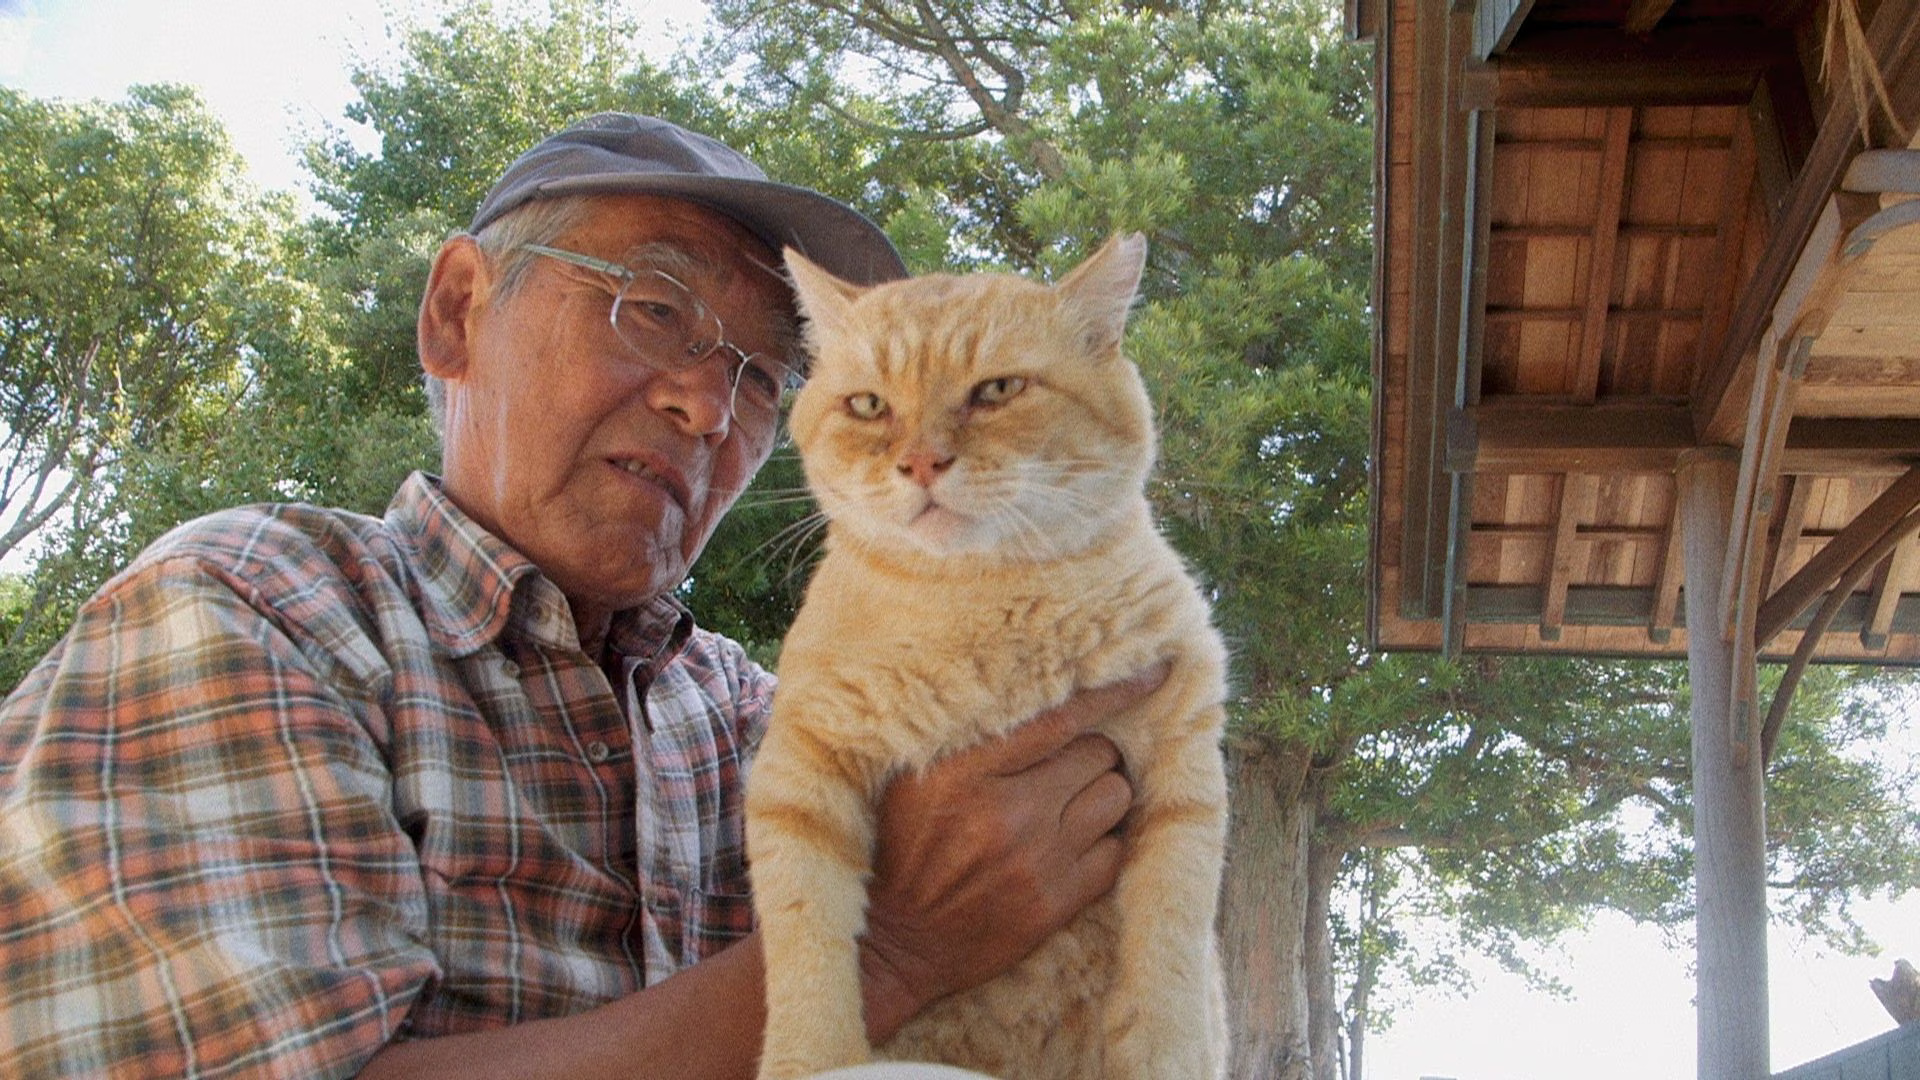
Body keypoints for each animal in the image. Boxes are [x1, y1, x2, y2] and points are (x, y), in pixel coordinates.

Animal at [748, 231, 1228, 1068]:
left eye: (997, 391)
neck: (980, 601)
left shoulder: (1183, 768)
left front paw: (1164, 1056)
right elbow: (807, 952)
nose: (921, 462)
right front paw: (812, 1060)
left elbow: (1168, 963)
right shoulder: (799, 774)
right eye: (869, 405)